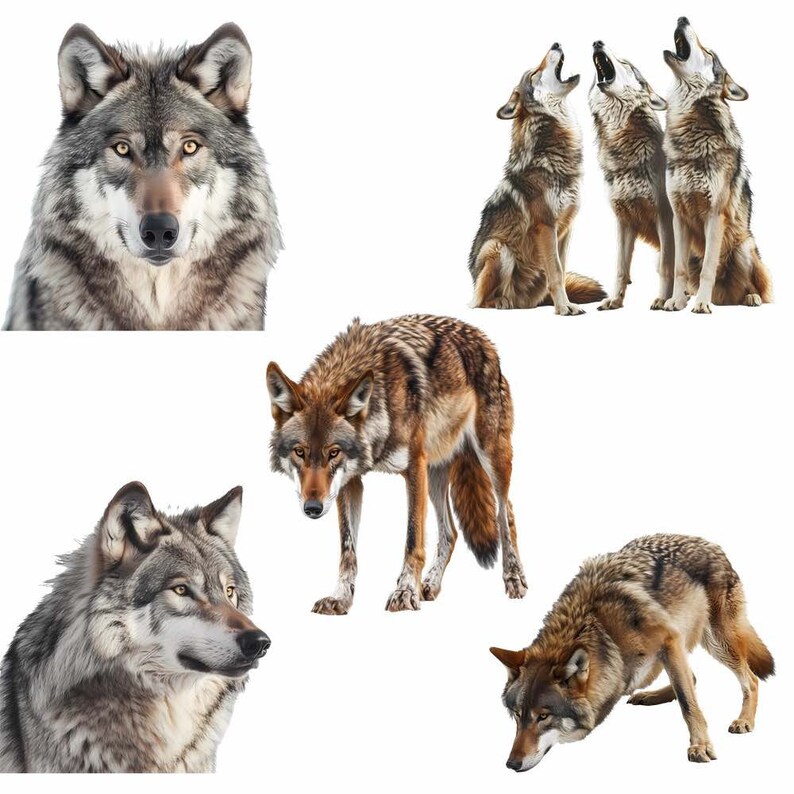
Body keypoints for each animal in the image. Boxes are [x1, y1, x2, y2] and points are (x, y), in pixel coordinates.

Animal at [267, 314, 527, 614]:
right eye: (300, 452)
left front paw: (405, 592)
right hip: (435, 476)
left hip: (490, 457)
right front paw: (340, 598)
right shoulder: (350, 482)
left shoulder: (413, 468)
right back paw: (430, 585)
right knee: (450, 534)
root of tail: (485, 340)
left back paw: (514, 577)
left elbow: (413, 539)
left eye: (333, 452)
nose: (312, 508)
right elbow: (348, 549)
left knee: (505, 513)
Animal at [469, 43, 606, 314]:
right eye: (533, 74)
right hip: (498, 248)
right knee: (477, 302)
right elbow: (557, 272)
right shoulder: (546, 226)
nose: (556, 44)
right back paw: (501, 302)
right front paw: (564, 309)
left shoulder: (565, 229)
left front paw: (567, 304)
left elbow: (561, 270)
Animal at [491, 534, 774, 771]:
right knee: (693, 677)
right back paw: (648, 696)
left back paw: (744, 720)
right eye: (517, 715)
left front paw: (700, 746)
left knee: (750, 678)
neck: (601, 628)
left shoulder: (670, 639)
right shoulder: (669, 646)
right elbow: (686, 690)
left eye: (543, 716)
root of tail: (712, 544)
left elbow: (688, 703)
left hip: (717, 641)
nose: (511, 764)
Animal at [589, 42, 675, 310]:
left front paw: (662, 299)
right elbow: (621, 267)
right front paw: (615, 300)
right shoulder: (624, 219)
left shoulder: (664, 216)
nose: (597, 42)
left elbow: (667, 266)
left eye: (626, 63)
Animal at [662, 17, 772, 313]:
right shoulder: (678, 217)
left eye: (709, 53)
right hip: (693, 252)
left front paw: (701, 303)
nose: (682, 18)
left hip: (745, 248)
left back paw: (749, 298)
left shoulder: (715, 215)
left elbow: (709, 268)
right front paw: (676, 301)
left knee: (756, 288)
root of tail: (726, 298)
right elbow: (678, 269)